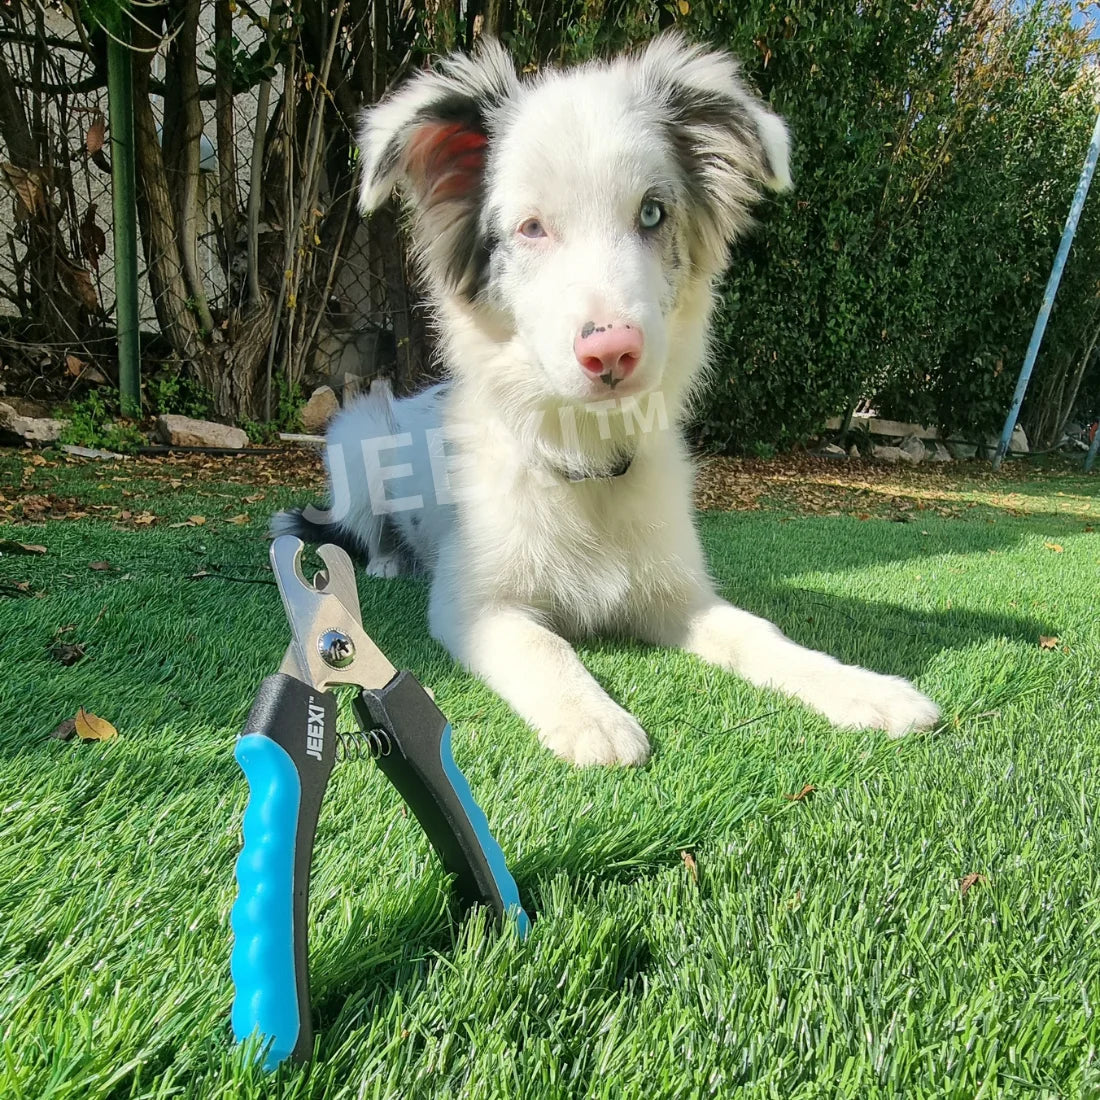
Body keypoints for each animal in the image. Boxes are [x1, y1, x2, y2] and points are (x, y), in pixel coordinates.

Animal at [272, 34, 937, 765]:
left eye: (652, 213)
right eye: (532, 228)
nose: (612, 351)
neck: (585, 459)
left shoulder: (679, 596)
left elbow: (760, 633)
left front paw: (866, 690)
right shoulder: (476, 606)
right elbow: (545, 642)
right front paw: (593, 719)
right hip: (356, 435)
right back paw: (390, 561)